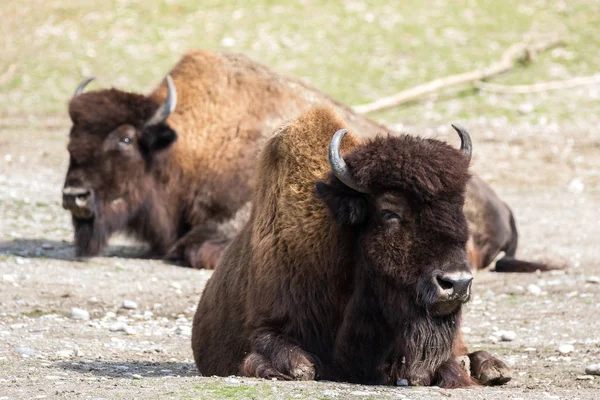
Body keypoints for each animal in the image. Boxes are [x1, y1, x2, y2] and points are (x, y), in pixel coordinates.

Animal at [192, 107, 510, 388]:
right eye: (390, 211)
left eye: (458, 206)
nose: (457, 283)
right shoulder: (266, 325)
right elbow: (299, 366)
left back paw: (494, 368)